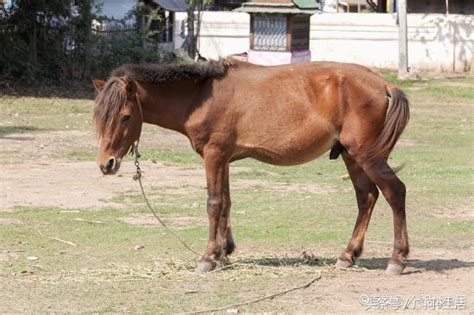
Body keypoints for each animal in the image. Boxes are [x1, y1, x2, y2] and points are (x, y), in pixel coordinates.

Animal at [93, 58, 412, 276]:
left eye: (125, 116)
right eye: (100, 116)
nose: (106, 164)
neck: (200, 97)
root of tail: (384, 85)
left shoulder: (214, 156)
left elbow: (213, 203)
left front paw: (207, 258)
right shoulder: (223, 159)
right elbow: (226, 203)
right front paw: (223, 252)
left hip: (368, 157)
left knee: (395, 193)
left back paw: (397, 259)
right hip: (352, 156)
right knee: (366, 197)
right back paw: (348, 255)